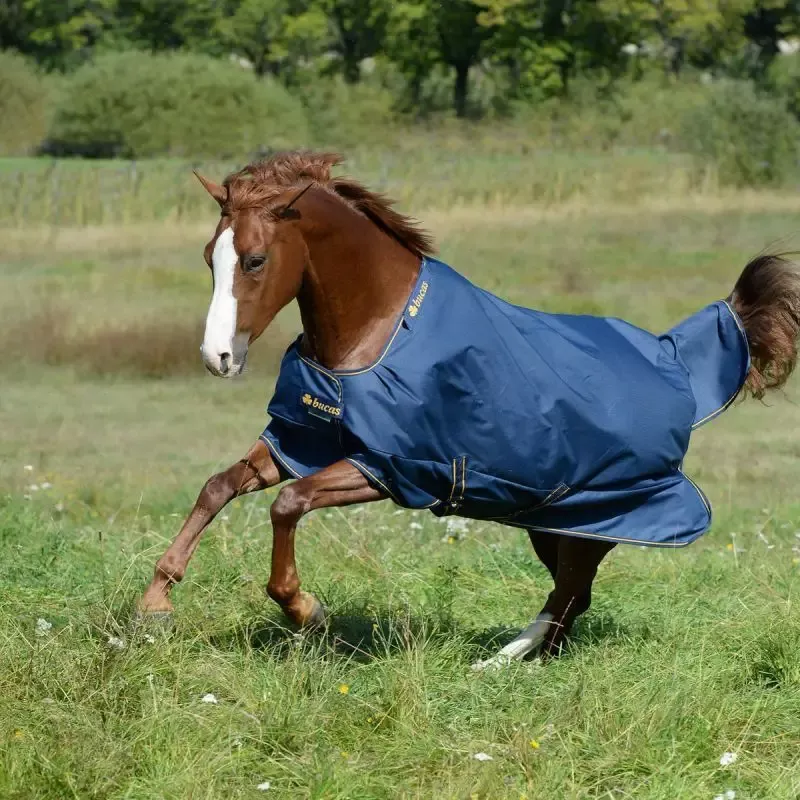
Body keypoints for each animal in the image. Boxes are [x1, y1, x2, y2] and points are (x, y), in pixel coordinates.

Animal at [137, 151, 800, 668]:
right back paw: (529, 657)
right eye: (209, 256)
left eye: (254, 260)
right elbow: (218, 486)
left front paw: (306, 610)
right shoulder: (304, 441)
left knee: (570, 593)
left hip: (600, 512)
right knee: (573, 595)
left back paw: (498, 660)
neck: (377, 330)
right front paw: (155, 603)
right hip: (555, 521)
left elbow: (287, 504)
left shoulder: (393, 467)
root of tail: (676, 365)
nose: (218, 357)